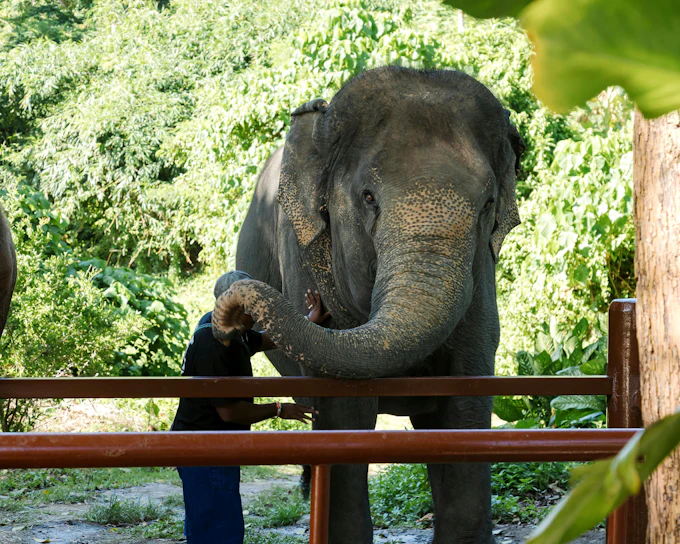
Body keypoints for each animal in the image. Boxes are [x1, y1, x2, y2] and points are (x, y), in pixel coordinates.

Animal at [214, 66, 524, 544]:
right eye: (368, 197)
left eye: (488, 204)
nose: (233, 298)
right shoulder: (303, 249)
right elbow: (344, 412)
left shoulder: (482, 272)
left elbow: (464, 399)